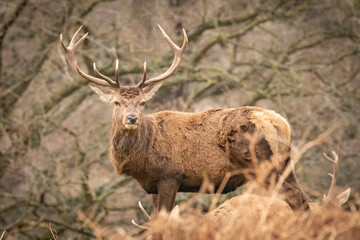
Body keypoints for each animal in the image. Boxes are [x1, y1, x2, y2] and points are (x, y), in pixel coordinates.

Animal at [59, 25, 310, 213]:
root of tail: (282, 124)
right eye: (116, 102)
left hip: (263, 163)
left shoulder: (170, 176)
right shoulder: (154, 186)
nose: (131, 118)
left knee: (295, 197)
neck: (142, 158)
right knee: (303, 197)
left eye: (143, 102)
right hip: (286, 163)